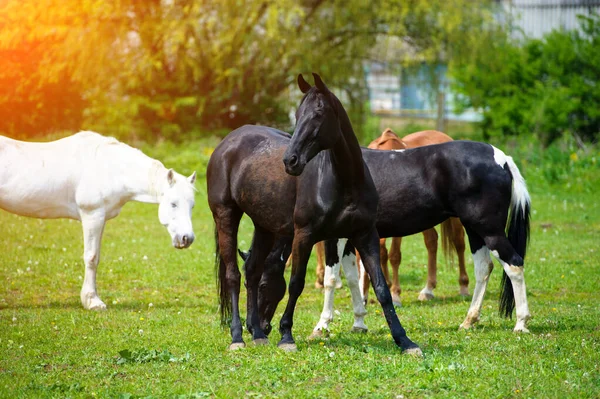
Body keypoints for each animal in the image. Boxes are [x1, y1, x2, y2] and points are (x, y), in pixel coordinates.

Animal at [0, 131, 197, 310]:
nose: (187, 238)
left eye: (192, 206)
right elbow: (91, 257)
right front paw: (92, 301)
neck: (108, 168)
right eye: (173, 204)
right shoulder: (92, 216)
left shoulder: (101, 219)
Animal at [207, 73, 422, 354]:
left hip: (264, 226)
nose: (290, 161)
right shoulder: (304, 236)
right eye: (298, 114)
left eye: (318, 114)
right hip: (226, 216)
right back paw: (237, 337)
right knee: (233, 275)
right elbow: (297, 283)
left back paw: (257, 336)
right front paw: (286, 336)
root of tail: (226, 144)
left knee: (251, 270)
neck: (345, 181)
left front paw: (404, 340)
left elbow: (381, 287)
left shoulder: (365, 235)